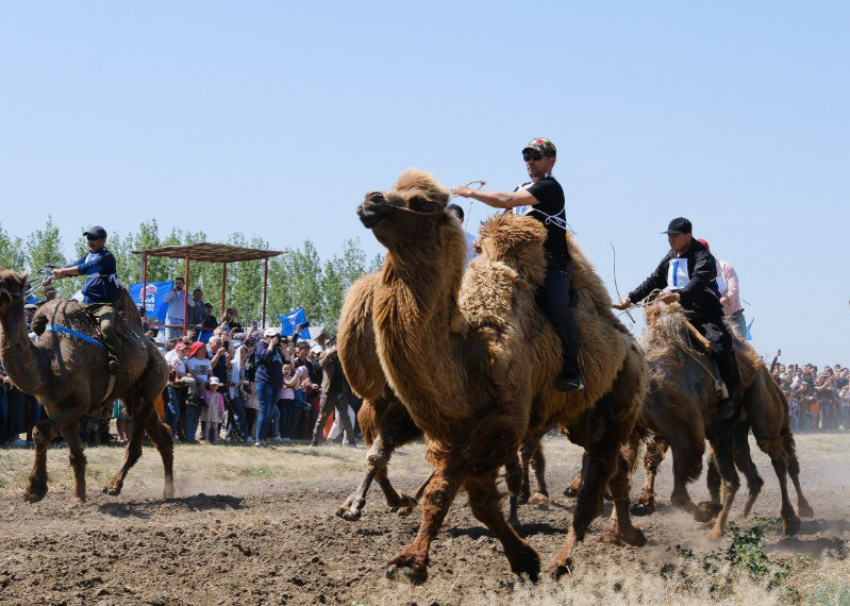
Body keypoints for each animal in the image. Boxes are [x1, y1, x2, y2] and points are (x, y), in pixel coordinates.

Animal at [0, 270, 172, 504]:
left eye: (9, 281)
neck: (47, 361)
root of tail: (159, 354)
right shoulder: (56, 408)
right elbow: (75, 454)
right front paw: (77, 497)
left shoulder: (78, 405)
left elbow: (41, 432)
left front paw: (34, 490)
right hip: (135, 395)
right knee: (163, 434)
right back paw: (168, 491)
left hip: (148, 386)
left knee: (136, 446)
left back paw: (113, 486)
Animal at [354, 170, 644, 584]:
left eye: (420, 202)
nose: (371, 200)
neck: (472, 353)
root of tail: (633, 348)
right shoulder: (453, 433)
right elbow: (458, 497)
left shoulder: (501, 425)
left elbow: (464, 495)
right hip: (581, 419)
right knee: (615, 470)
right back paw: (627, 534)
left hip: (619, 403)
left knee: (595, 484)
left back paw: (563, 560)